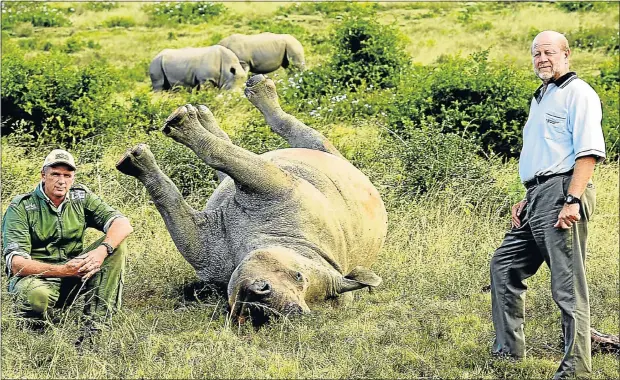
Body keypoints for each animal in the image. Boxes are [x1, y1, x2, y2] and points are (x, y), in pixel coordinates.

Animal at [117, 75, 388, 326]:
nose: (261, 306)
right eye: (298, 276)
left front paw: (140, 160)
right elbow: (178, 199)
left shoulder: (269, 190)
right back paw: (212, 108)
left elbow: (190, 182)